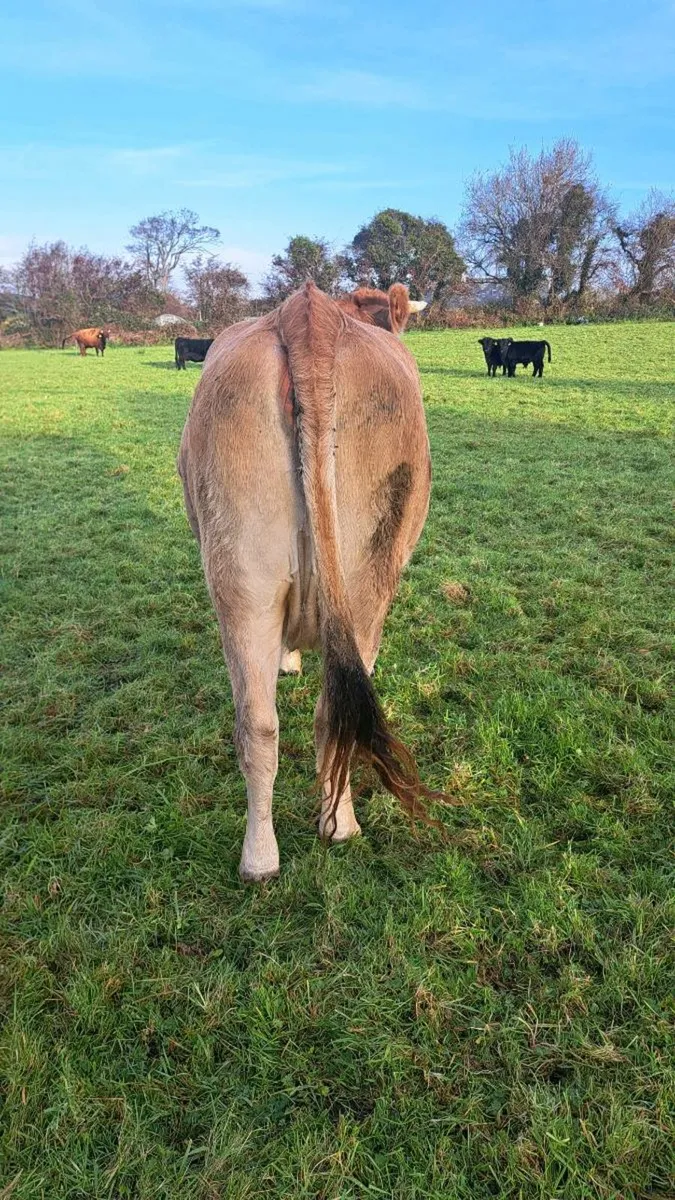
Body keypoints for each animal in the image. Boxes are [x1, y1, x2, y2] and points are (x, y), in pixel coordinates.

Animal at [177, 282, 443, 882]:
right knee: (320, 716)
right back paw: (333, 827)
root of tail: (309, 313)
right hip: (367, 577)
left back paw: (266, 854)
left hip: (246, 576)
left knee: (264, 723)